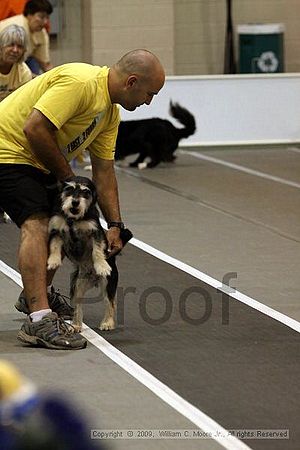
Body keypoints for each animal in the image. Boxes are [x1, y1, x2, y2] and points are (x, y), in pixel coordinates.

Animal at [47, 176, 131, 330]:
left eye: (86, 192)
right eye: (69, 189)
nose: (75, 202)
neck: (74, 219)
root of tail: (94, 280)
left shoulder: (95, 232)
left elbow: (97, 251)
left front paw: (102, 266)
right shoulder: (56, 230)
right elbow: (54, 246)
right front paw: (53, 261)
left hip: (108, 284)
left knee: (111, 303)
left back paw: (108, 322)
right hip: (77, 286)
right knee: (78, 307)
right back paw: (76, 325)